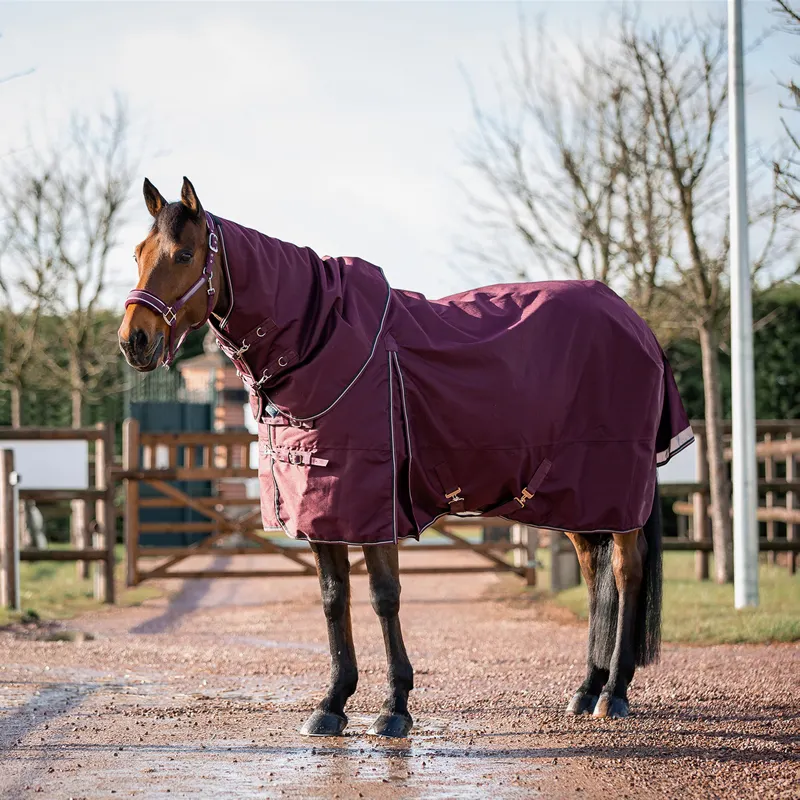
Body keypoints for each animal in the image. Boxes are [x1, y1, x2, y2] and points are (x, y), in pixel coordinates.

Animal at [119, 177, 692, 737]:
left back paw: (614, 694)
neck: (326, 341)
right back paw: (587, 689)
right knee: (596, 575)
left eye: (184, 254)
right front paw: (332, 703)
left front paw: (394, 706)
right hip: (575, 496)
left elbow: (383, 596)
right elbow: (333, 598)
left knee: (626, 571)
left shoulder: (374, 508)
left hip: (615, 490)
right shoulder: (324, 510)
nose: (133, 340)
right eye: (138, 252)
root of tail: (636, 324)